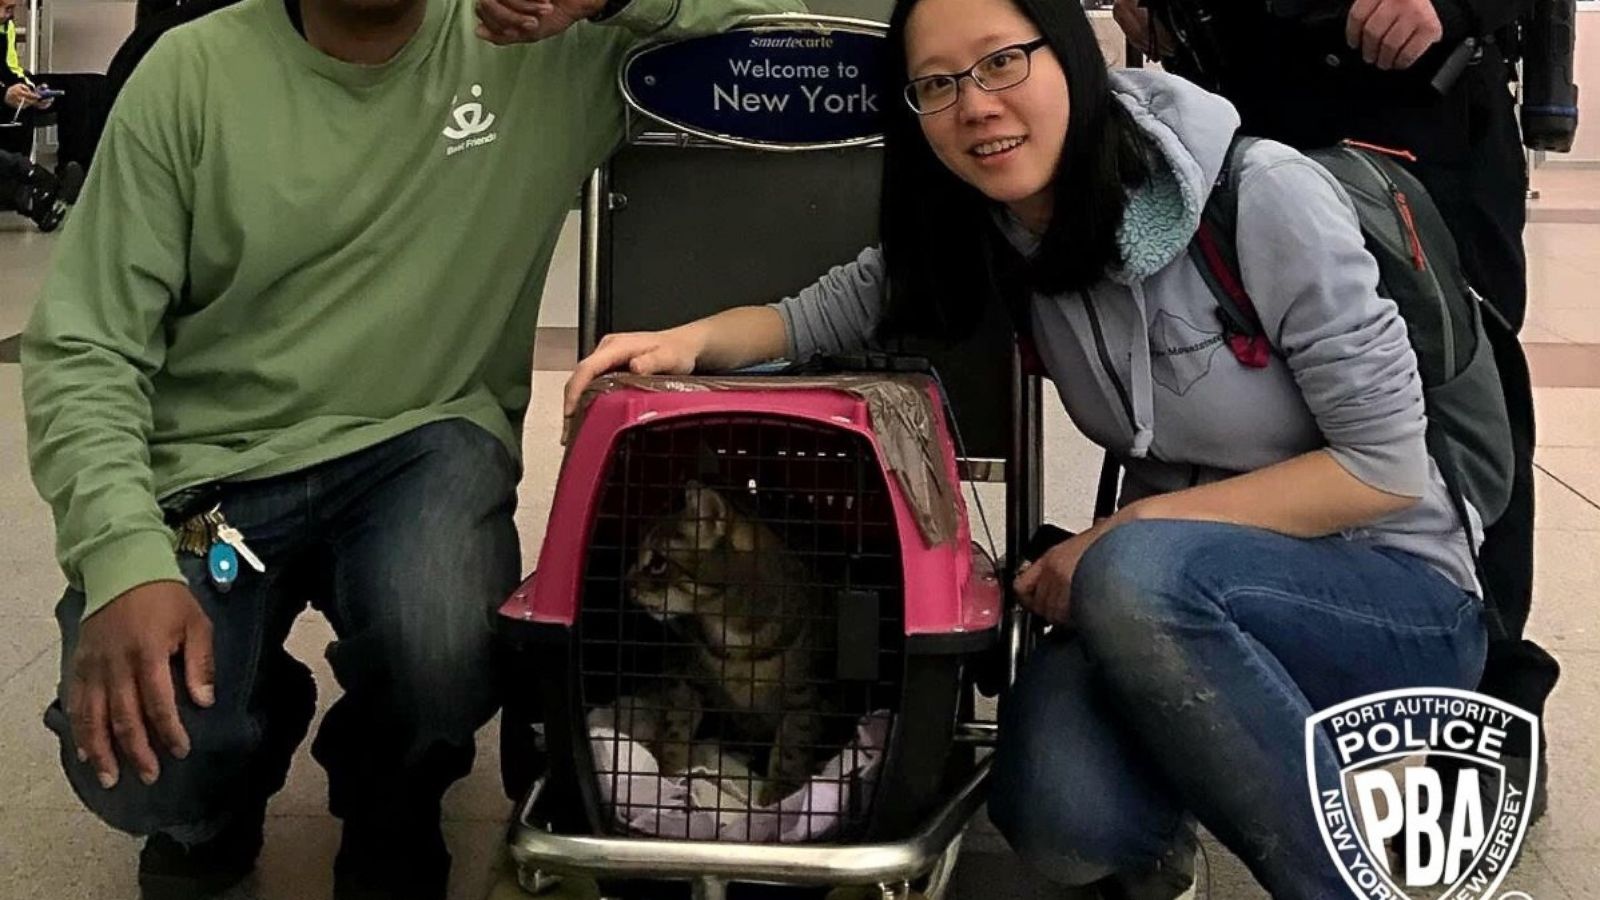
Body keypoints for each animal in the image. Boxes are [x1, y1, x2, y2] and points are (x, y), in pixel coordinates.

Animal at [614, 483, 838, 807]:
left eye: (657, 563)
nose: (626, 584)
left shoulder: (803, 697)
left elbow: (792, 749)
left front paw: (778, 800)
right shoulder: (683, 677)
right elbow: (675, 730)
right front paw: (669, 774)